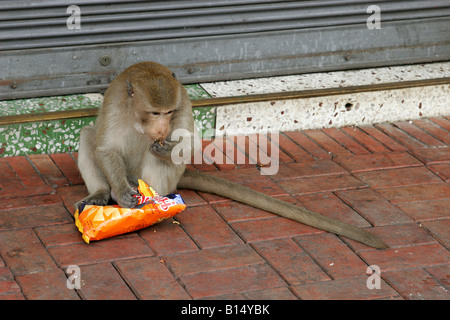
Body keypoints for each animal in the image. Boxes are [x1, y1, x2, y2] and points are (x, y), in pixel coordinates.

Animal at [76, 61, 386, 249]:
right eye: (155, 112)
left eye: (168, 112)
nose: (162, 128)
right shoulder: (115, 101)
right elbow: (105, 148)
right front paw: (120, 193)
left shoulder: (182, 100)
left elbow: (187, 144)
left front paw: (170, 147)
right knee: (88, 135)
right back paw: (103, 194)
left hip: (164, 180)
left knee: (157, 158)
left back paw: (156, 202)